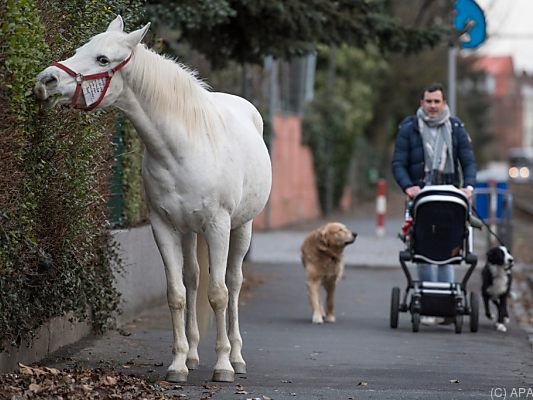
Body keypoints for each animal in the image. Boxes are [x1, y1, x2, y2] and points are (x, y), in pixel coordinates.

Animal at [33, 16, 270, 384]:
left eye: (102, 59)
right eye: (80, 49)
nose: (46, 81)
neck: (184, 147)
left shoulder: (218, 225)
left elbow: (218, 294)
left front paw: (223, 366)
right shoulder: (163, 226)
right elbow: (177, 294)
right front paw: (178, 364)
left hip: (241, 227)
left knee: (232, 282)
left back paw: (237, 357)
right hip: (189, 231)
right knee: (193, 279)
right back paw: (194, 356)